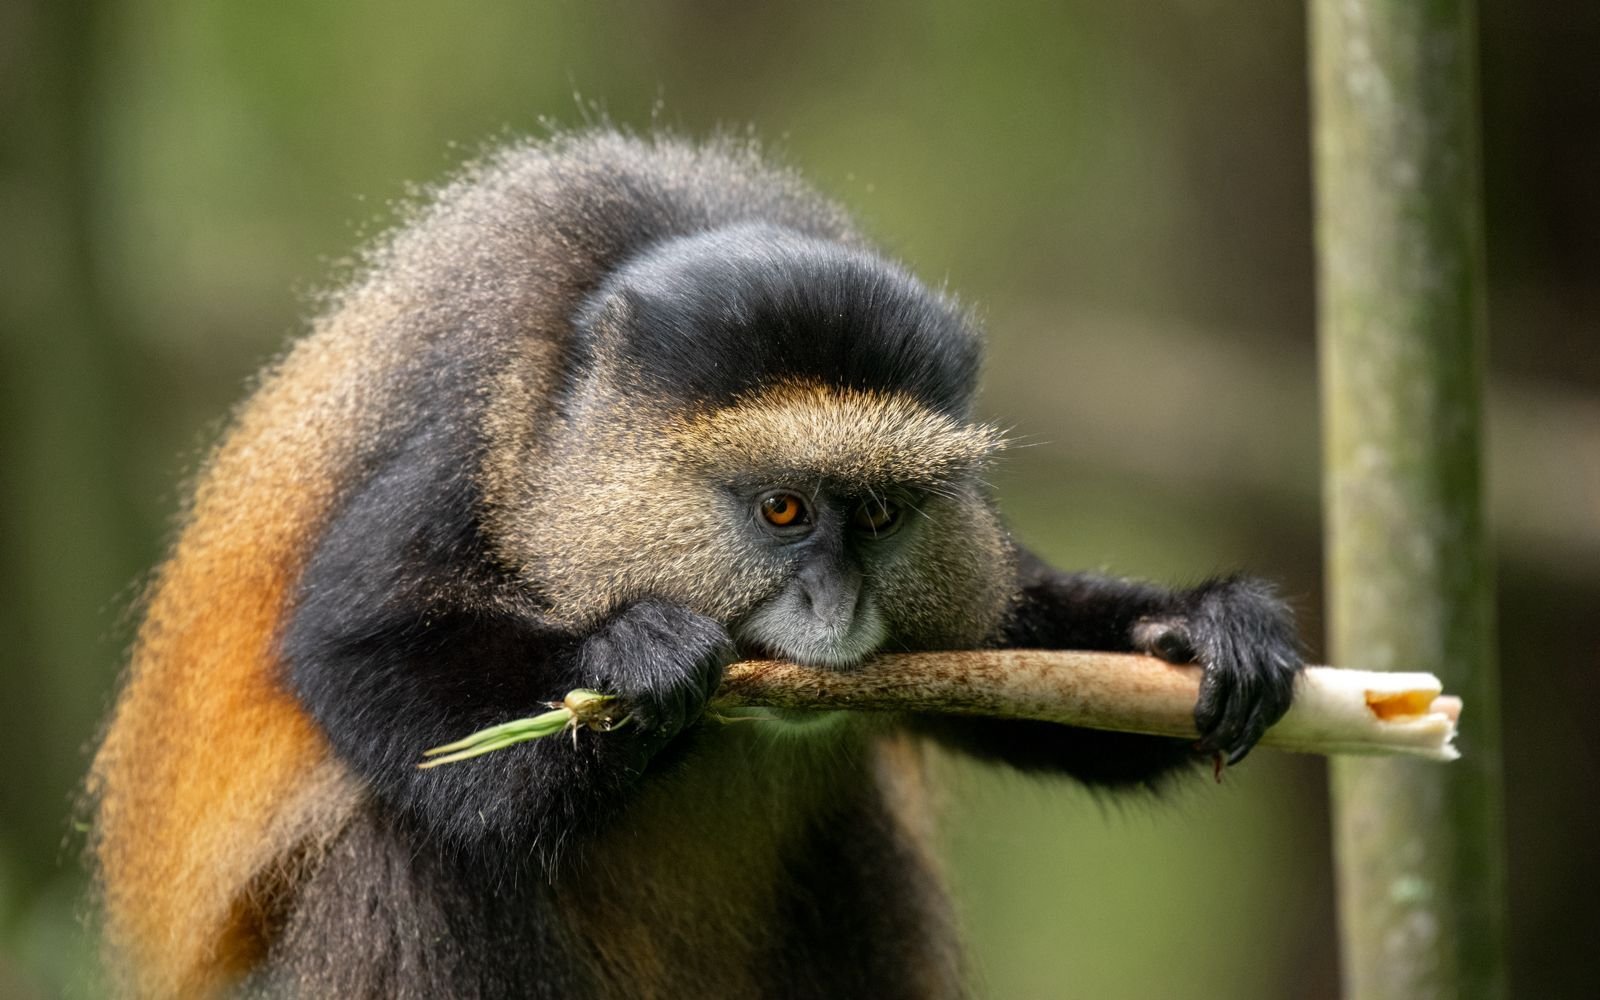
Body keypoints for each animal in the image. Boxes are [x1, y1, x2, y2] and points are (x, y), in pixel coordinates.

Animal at [86, 129, 1301, 999]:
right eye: (782, 510)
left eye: (879, 515)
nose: (835, 603)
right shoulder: (460, 427)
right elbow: (357, 645)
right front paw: (640, 658)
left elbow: (1018, 660)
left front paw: (1206, 626)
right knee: (410, 846)